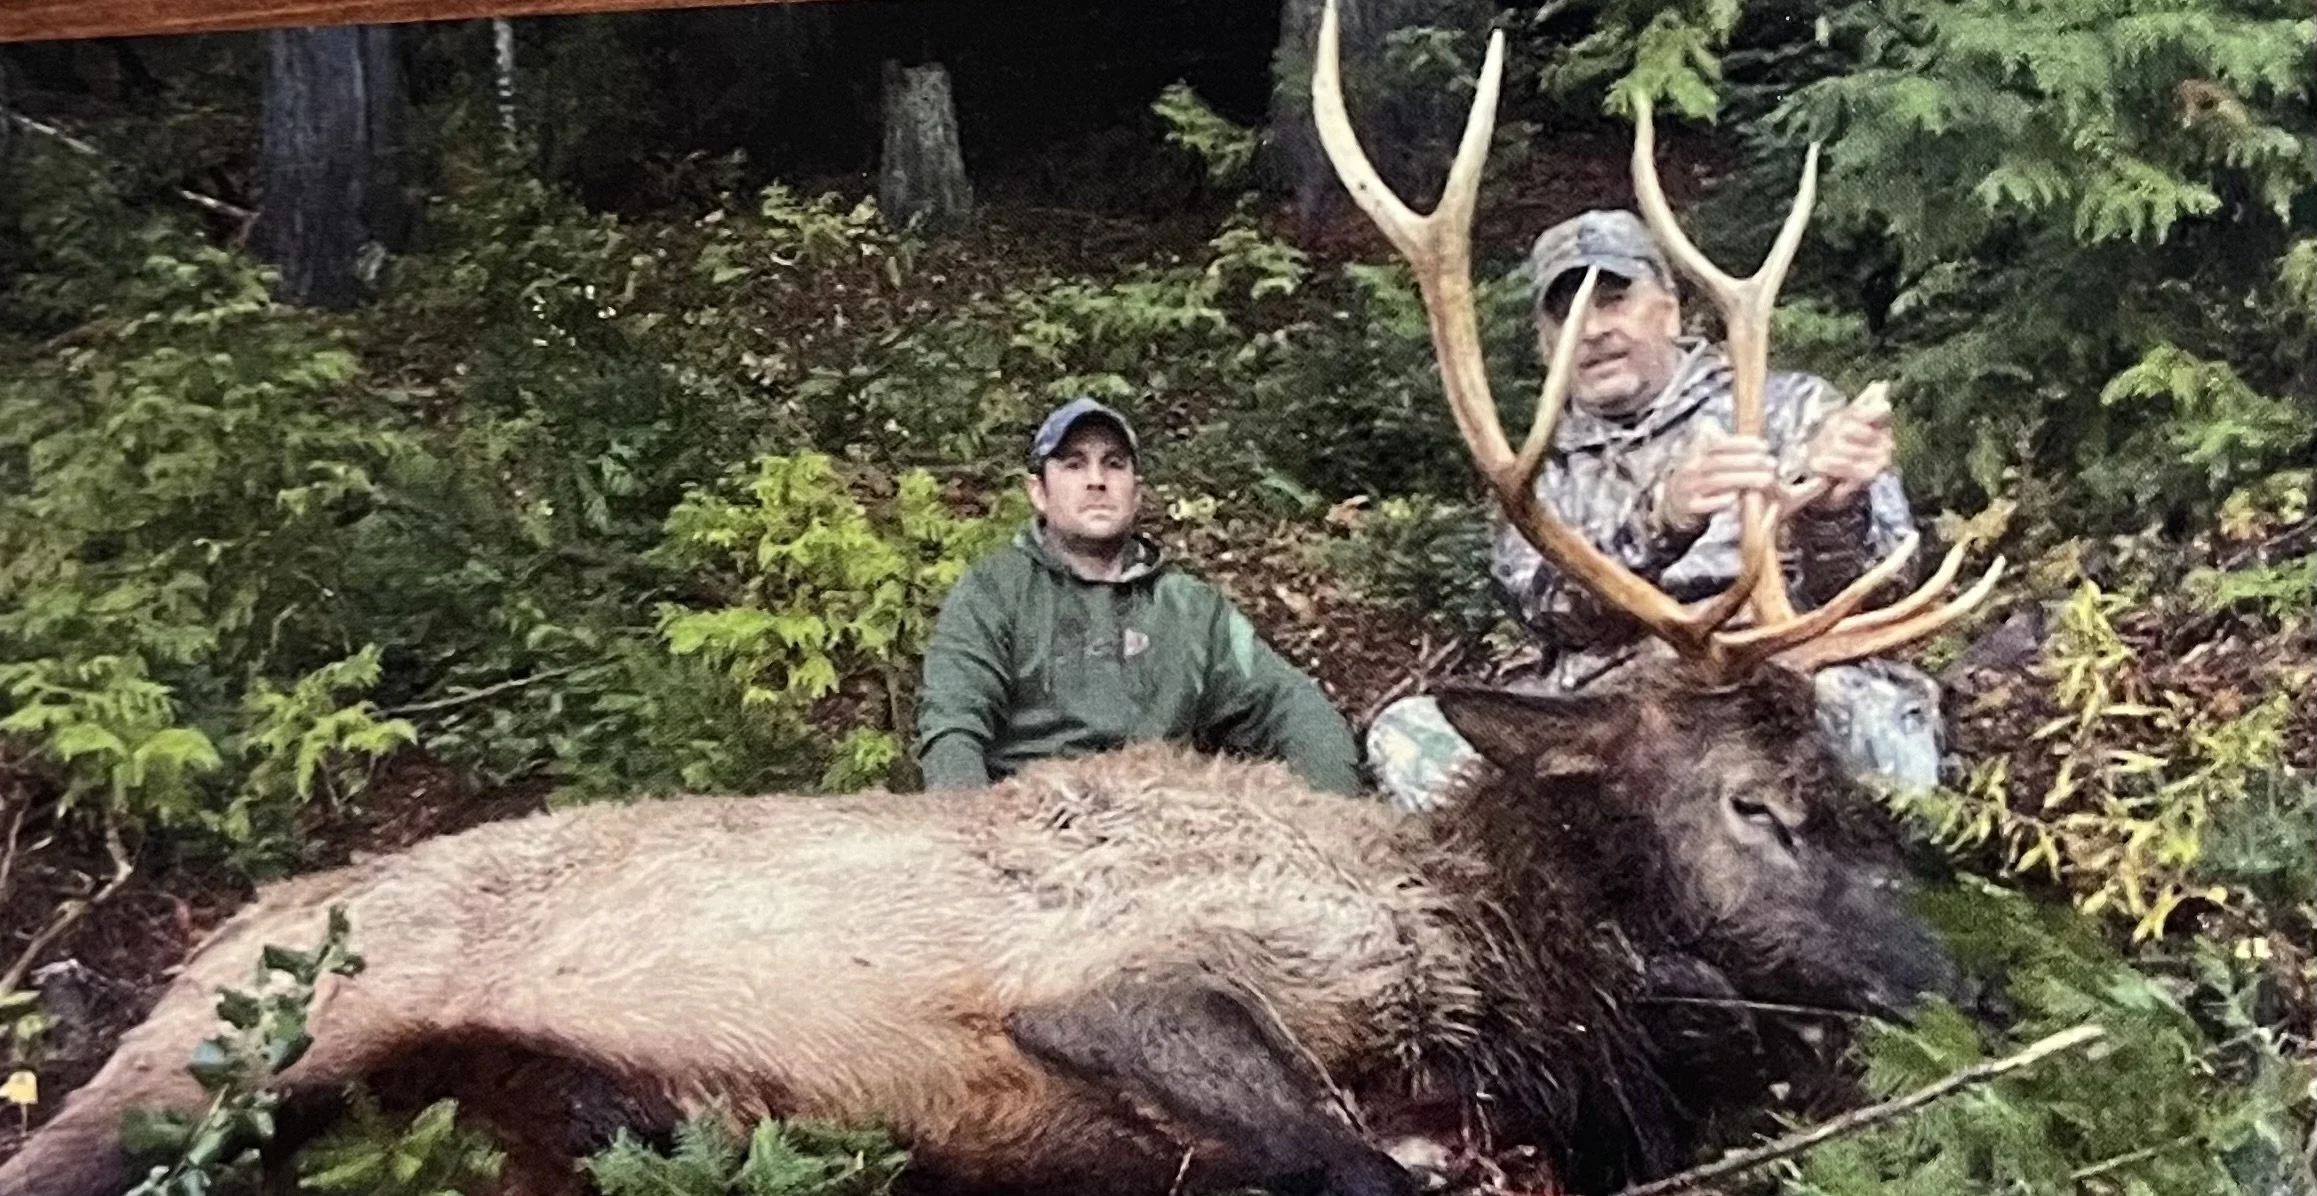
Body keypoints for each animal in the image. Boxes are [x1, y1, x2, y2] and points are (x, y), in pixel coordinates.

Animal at [0, 5, 2003, 1194]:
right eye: (1753, 806)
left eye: (1853, 787)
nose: (1958, 981)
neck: (1498, 967)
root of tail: (223, 921)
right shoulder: (1122, 985)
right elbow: (1343, 1158)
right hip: (225, 1042)